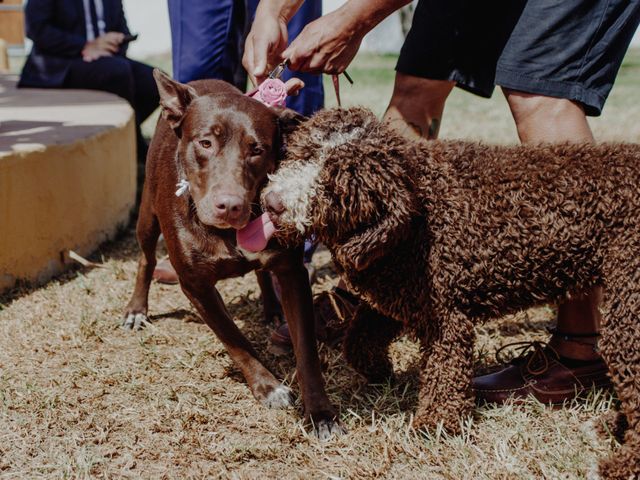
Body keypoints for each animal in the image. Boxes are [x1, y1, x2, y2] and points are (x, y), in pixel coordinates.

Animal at [123, 71, 342, 438]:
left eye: (257, 149)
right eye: (205, 144)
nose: (230, 205)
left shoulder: (293, 271)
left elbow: (307, 350)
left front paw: (320, 412)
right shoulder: (195, 285)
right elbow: (235, 339)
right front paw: (269, 387)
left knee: (261, 272)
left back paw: (271, 308)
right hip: (147, 217)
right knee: (146, 258)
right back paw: (137, 310)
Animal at [260, 107, 640, 478]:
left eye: (334, 185)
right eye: (304, 153)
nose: (272, 202)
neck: (417, 209)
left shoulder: (445, 316)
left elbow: (444, 373)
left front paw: (434, 425)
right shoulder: (404, 292)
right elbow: (359, 338)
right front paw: (380, 370)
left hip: (628, 315)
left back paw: (620, 461)